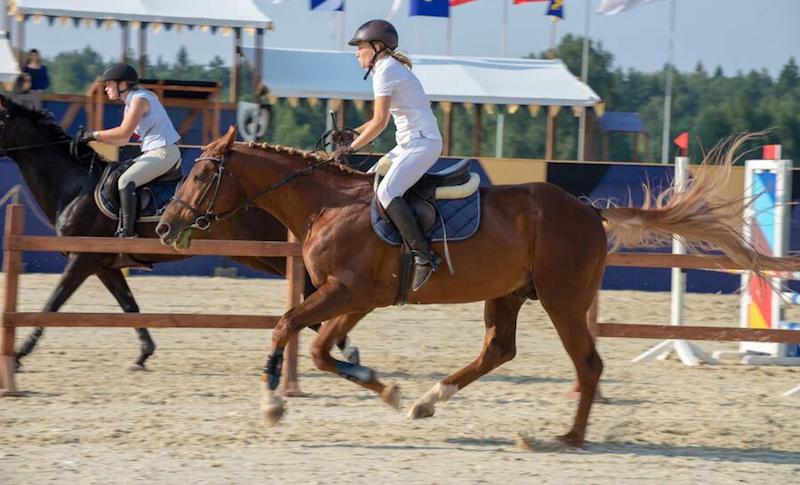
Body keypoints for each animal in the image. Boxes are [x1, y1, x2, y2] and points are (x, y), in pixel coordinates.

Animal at [0, 95, 356, 370]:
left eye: (1, 119)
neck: (74, 187)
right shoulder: (104, 266)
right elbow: (129, 306)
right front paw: (144, 354)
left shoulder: (81, 260)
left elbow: (52, 304)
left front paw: (19, 355)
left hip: (273, 258)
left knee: (313, 295)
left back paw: (342, 344)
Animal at [158, 127, 776, 446]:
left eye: (201, 172)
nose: (165, 226)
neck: (326, 204)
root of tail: (588, 209)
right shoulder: (357, 298)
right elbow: (320, 349)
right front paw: (388, 389)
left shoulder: (348, 292)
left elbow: (289, 328)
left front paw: (271, 404)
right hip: (507, 294)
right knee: (498, 350)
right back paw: (429, 399)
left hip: (563, 299)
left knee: (588, 364)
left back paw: (565, 437)